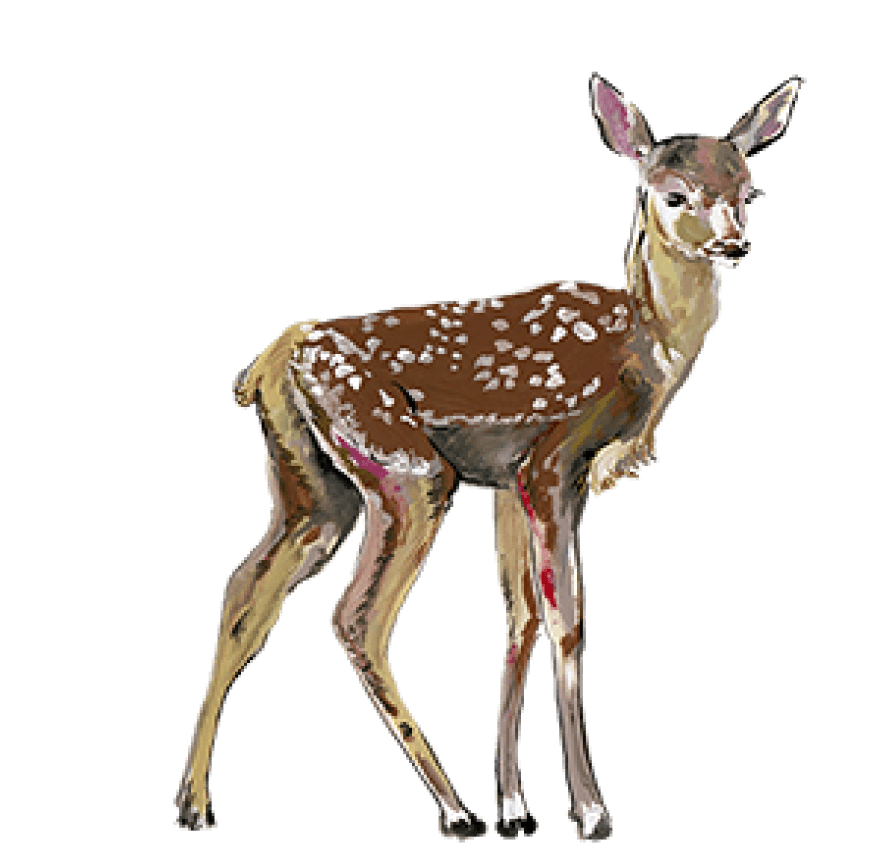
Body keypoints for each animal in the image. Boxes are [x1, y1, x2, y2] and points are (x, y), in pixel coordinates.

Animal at [174, 73, 804, 842]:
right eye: (673, 193)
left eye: (751, 190)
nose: (734, 244)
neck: (646, 352)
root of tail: (269, 362)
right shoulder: (553, 460)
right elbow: (566, 617)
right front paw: (589, 811)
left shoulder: (506, 479)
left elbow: (519, 615)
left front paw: (515, 807)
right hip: (407, 471)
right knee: (355, 617)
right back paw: (453, 809)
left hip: (315, 490)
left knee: (244, 593)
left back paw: (195, 805)